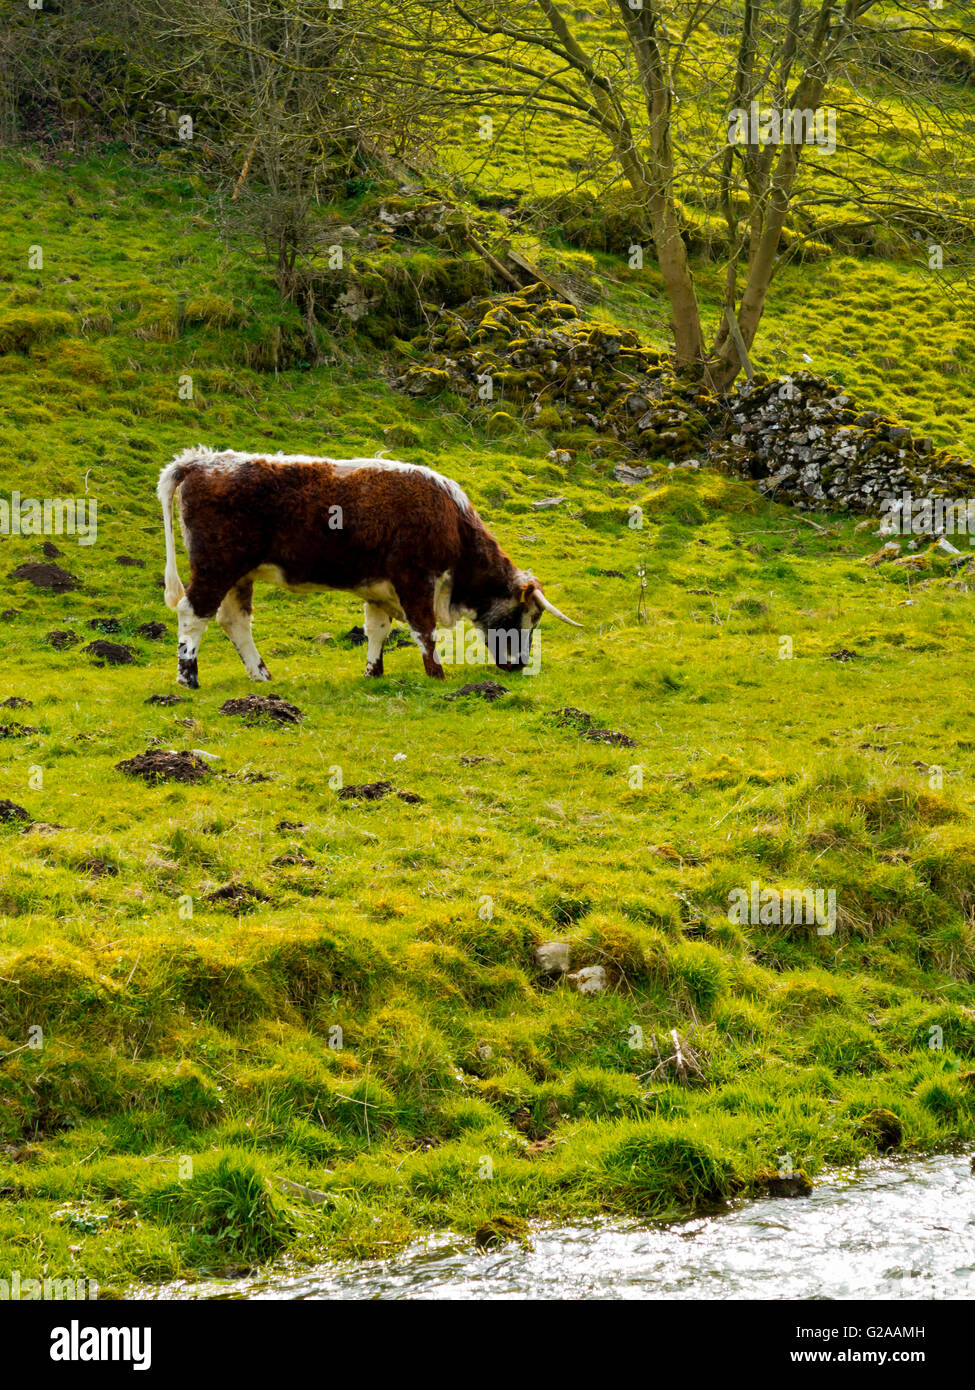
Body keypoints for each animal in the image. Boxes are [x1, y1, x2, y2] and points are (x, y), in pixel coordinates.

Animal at [155, 444, 573, 689]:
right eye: (528, 617)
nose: (520, 665)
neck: (451, 521)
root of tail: (199, 460)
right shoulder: (414, 580)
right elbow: (424, 631)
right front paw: (437, 674)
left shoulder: (380, 590)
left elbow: (378, 630)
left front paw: (374, 672)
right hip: (216, 566)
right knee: (193, 614)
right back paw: (188, 677)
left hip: (239, 574)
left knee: (235, 621)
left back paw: (261, 674)